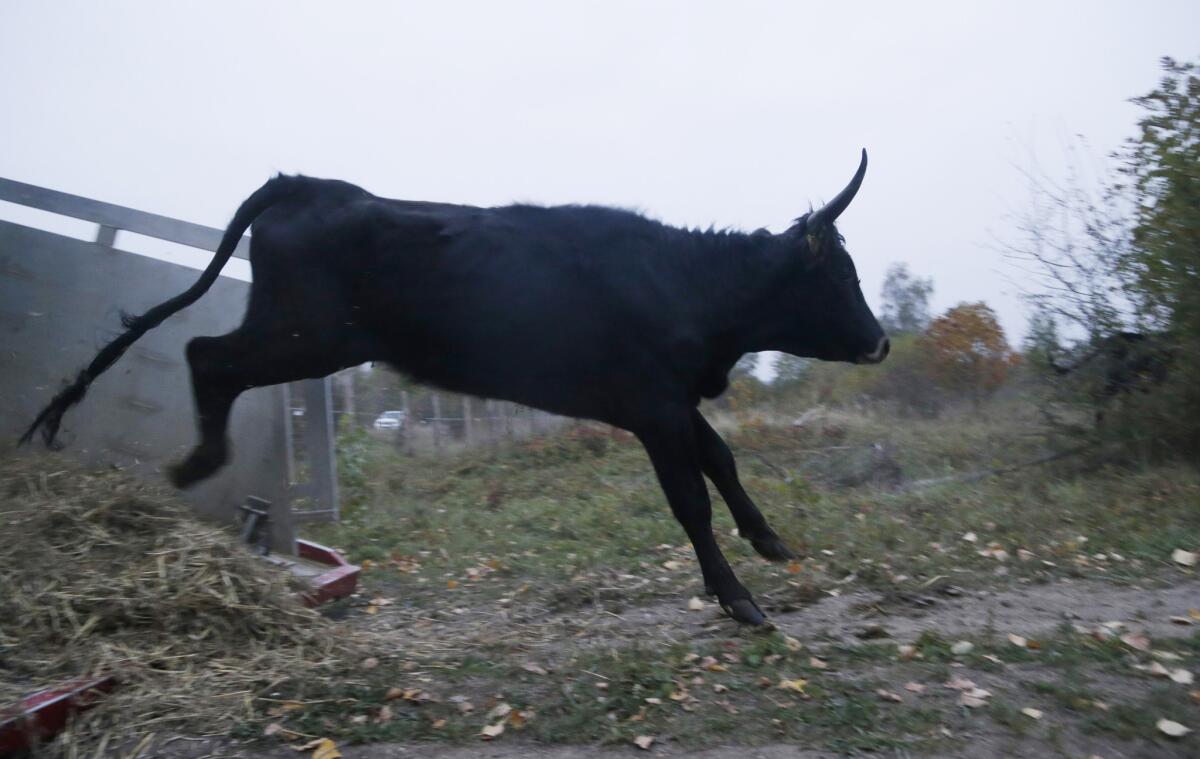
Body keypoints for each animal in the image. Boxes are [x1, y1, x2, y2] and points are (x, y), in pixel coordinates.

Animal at [23, 151, 888, 624]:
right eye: (837, 276)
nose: (880, 340)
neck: (683, 281)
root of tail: (312, 184)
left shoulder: (670, 402)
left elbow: (722, 462)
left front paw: (770, 541)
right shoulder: (649, 405)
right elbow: (690, 500)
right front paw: (738, 599)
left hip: (302, 336)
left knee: (209, 355)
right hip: (304, 336)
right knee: (207, 354)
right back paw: (197, 461)